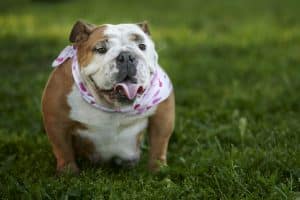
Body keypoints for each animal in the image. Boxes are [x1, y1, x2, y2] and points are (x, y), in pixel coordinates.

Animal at [41, 20, 175, 173]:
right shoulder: (56, 119)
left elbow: (159, 144)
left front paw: (158, 170)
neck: (112, 106)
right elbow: (63, 148)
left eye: (142, 46)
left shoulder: (163, 115)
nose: (127, 56)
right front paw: (68, 172)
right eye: (101, 49)